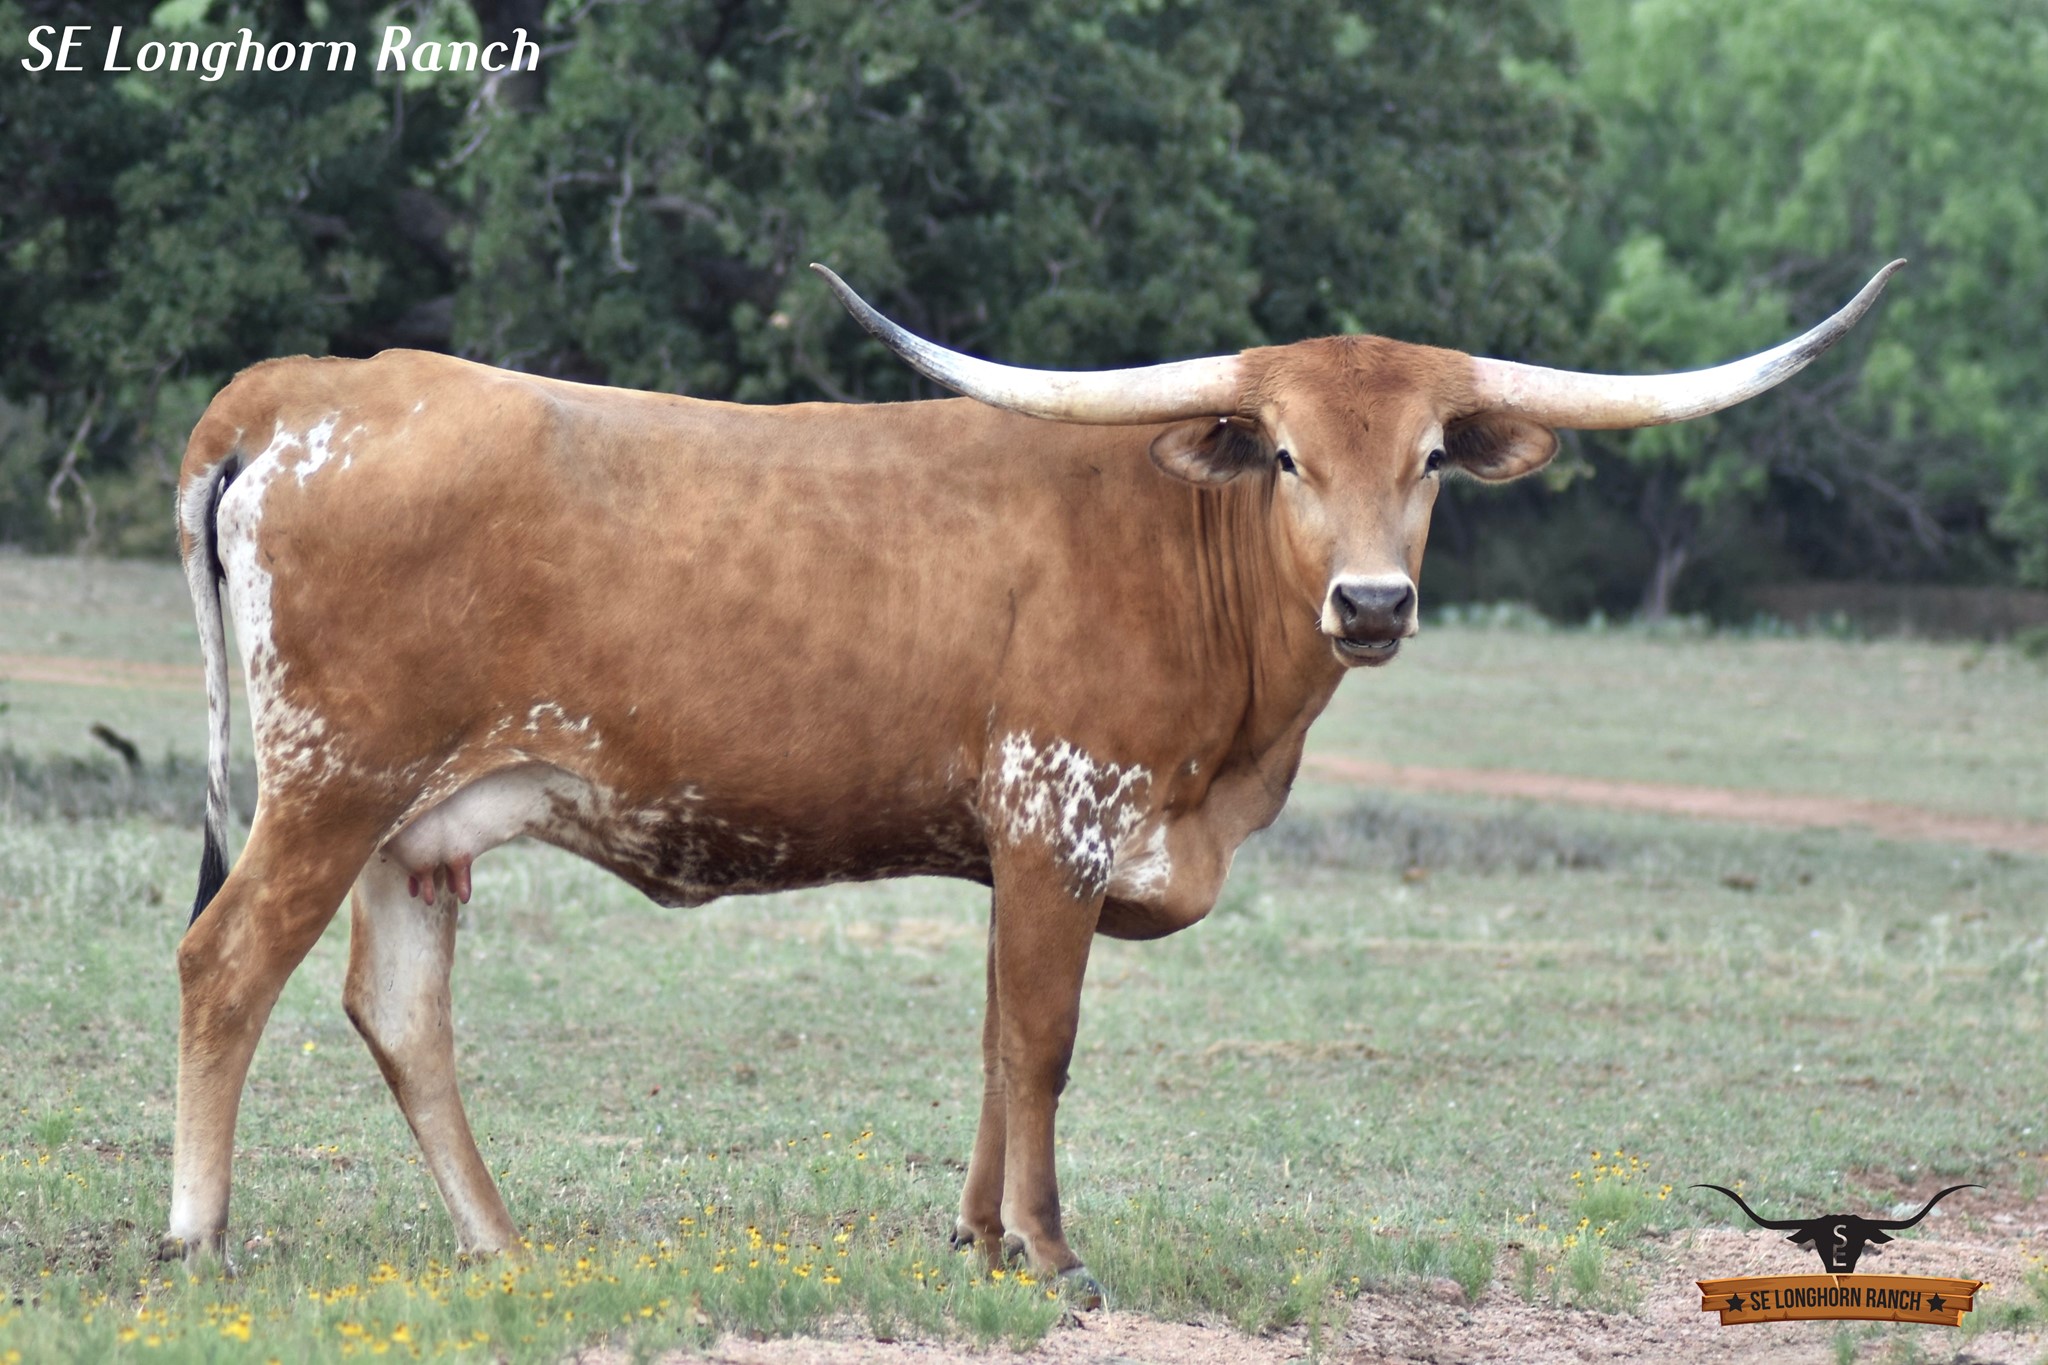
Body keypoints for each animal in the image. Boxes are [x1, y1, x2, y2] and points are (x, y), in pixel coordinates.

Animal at [166, 260, 1902, 1303]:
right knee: (224, 965)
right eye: (1283, 454)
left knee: (398, 1008)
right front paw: (1055, 1254)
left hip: (415, 827)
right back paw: (200, 1234)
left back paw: (504, 1248)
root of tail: (305, 389)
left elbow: (998, 1041)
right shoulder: (1059, 823)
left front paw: (978, 1234)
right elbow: (1047, 1044)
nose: (1372, 602)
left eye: (1427, 460)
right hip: (330, 785)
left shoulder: (1013, 850)